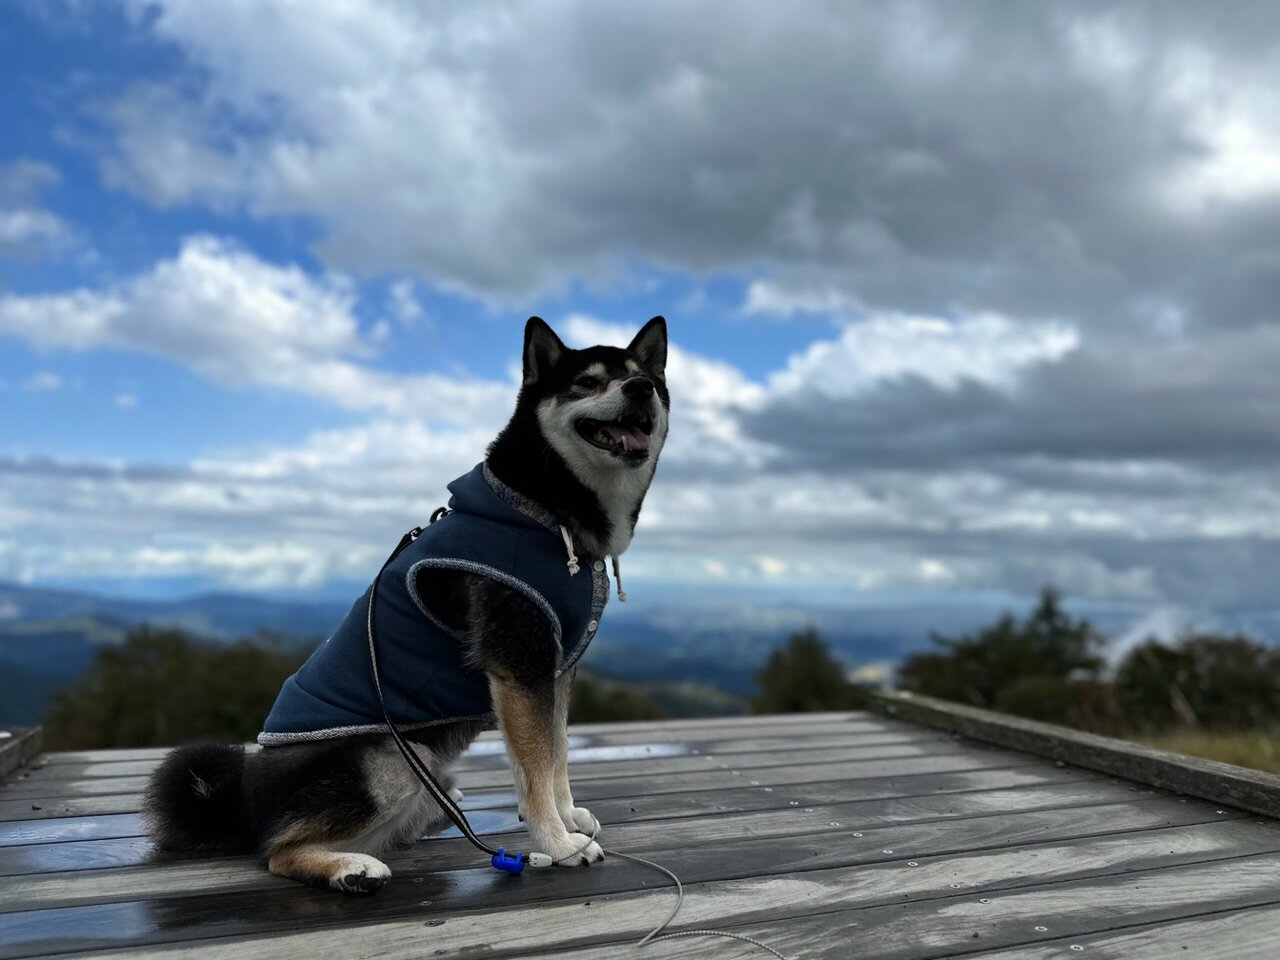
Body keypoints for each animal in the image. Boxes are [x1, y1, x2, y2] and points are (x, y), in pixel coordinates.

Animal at [142, 316, 670, 896]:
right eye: (587, 383)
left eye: (646, 378)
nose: (639, 389)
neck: (544, 509)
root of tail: (243, 803)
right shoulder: (519, 662)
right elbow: (535, 765)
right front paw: (557, 843)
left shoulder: (553, 668)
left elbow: (557, 755)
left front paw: (569, 816)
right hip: (392, 758)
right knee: (274, 851)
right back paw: (349, 868)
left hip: (426, 773)